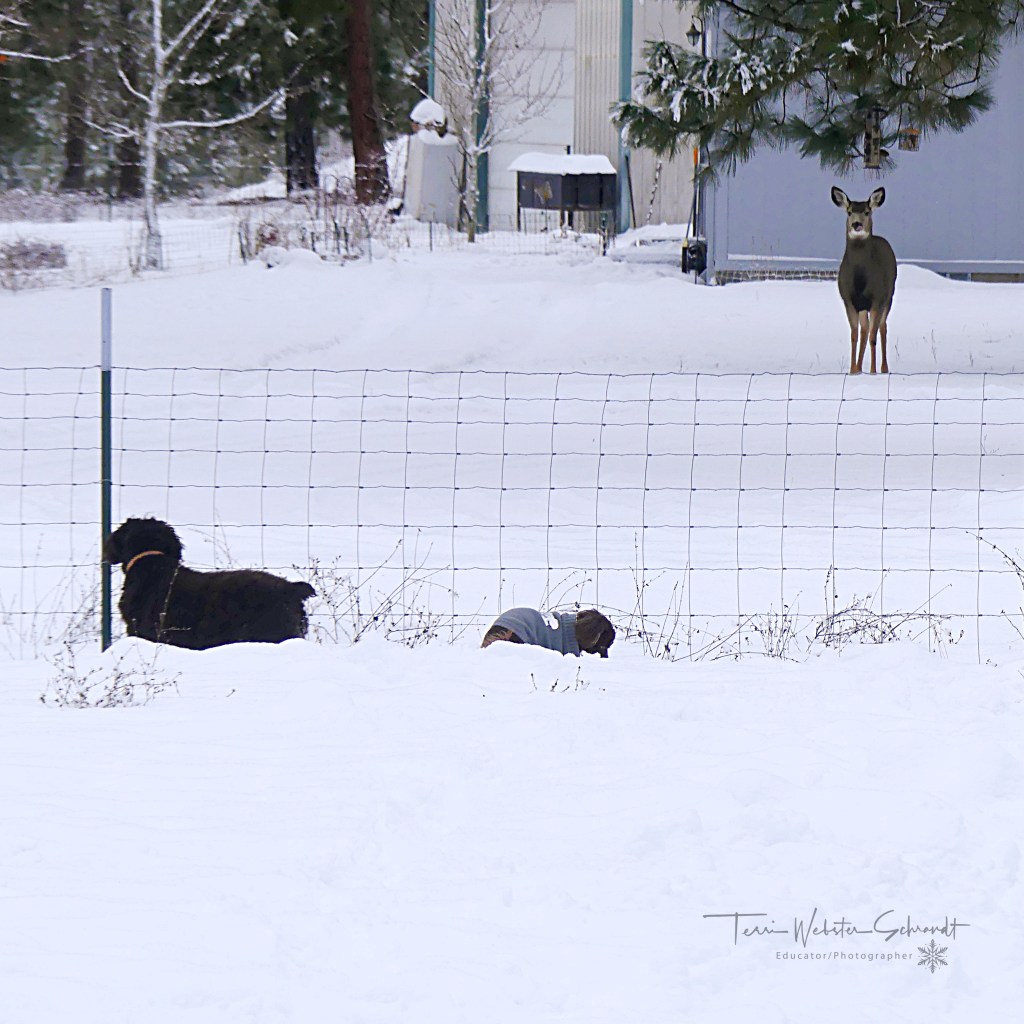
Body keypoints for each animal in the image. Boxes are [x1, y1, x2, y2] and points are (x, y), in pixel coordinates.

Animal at [831, 186, 897, 374]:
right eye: (849, 212)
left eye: (867, 212)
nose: (856, 224)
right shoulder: (848, 300)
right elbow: (854, 335)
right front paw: (853, 371)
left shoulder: (877, 299)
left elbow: (874, 335)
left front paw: (873, 371)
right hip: (863, 306)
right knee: (865, 330)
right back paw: (860, 367)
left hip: (889, 297)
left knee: (882, 328)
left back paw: (883, 368)